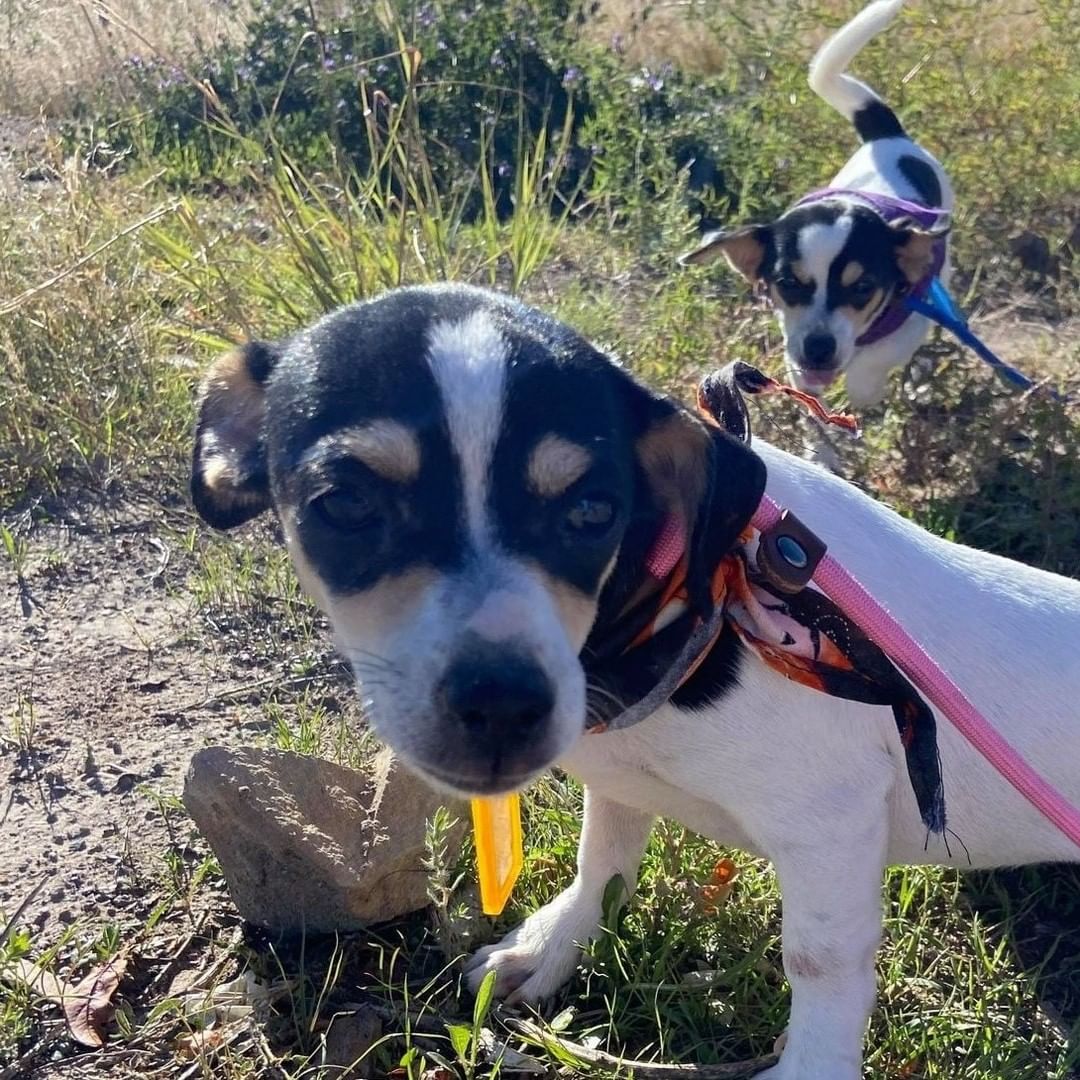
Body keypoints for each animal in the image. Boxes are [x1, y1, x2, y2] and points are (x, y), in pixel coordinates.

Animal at [192, 282, 1080, 1080]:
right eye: (343, 502)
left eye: (592, 511)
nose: (502, 706)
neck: (683, 600)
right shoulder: (619, 781)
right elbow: (603, 862)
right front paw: (553, 947)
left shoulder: (829, 824)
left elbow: (818, 965)